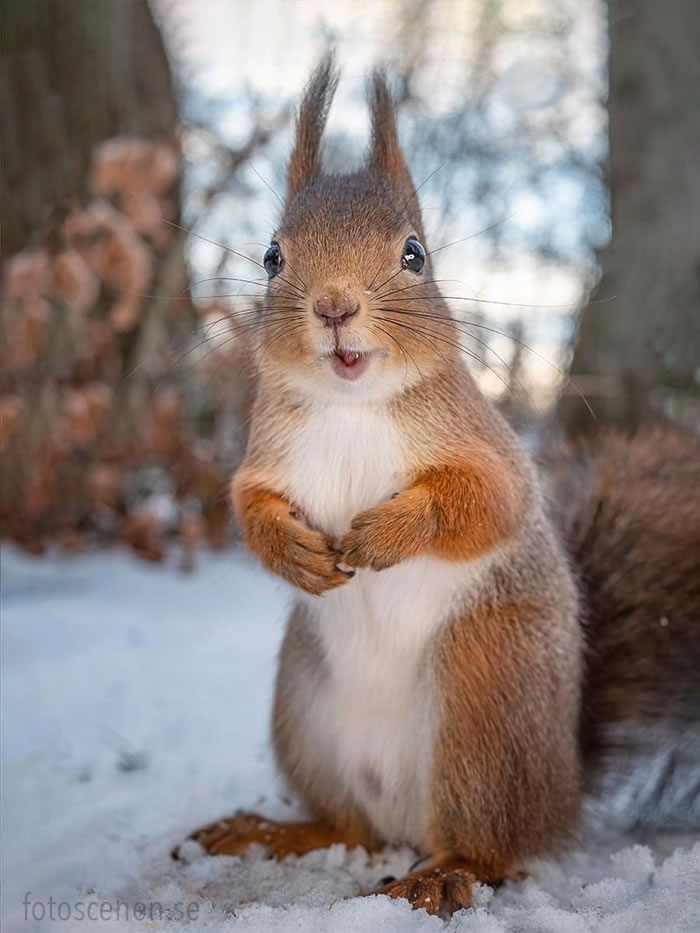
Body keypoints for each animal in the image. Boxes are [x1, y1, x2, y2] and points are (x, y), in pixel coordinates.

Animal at [175, 56, 700, 912]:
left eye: (415, 253)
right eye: (272, 256)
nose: (335, 306)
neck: (352, 406)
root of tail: (562, 787)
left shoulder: (487, 448)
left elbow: (487, 503)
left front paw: (385, 532)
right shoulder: (265, 456)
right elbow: (247, 508)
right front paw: (293, 551)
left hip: (480, 701)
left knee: (493, 844)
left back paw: (444, 873)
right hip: (303, 712)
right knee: (348, 825)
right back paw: (272, 830)